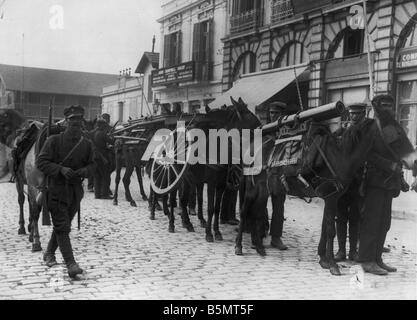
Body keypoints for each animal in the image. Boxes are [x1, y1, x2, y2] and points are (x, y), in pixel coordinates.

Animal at [234, 99, 416, 276]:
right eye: (398, 133)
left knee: (256, 211)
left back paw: (259, 248)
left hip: (264, 189)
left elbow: (324, 228)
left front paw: (323, 260)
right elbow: (330, 230)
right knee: (244, 211)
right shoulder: (331, 197)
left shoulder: (330, 198)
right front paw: (333, 265)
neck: (340, 156)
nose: (413, 161)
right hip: (252, 188)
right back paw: (239, 246)